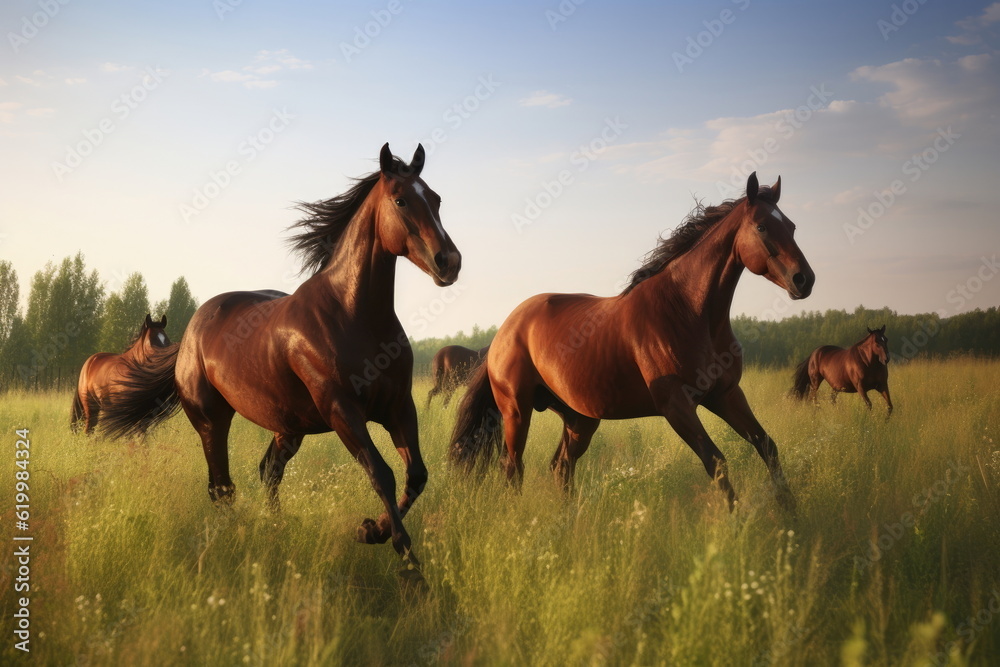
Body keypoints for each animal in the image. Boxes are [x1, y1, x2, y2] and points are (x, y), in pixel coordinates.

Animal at [100, 144, 461, 573]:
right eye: (401, 200)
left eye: (436, 199)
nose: (449, 262)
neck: (354, 315)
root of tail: (189, 335)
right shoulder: (343, 410)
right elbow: (382, 474)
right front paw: (407, 563)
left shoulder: (398, 407)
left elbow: (415, 475)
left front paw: (372, 530)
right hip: (211, 420)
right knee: (222, 487)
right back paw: (238, 540)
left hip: (288, 427)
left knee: (267, 473)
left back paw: (276, 531)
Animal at [450, 173, 813, 513]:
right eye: (762, 226)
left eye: (792, 226)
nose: (804, 280)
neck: (688, 312)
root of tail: (504, 332)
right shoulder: (677, 406)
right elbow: (717, 462)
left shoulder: (726, 395)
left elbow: (767, 446)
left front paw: (792, 516)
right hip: (516, 411)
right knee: (513, 467)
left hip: (579, 418)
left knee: (561, 466)